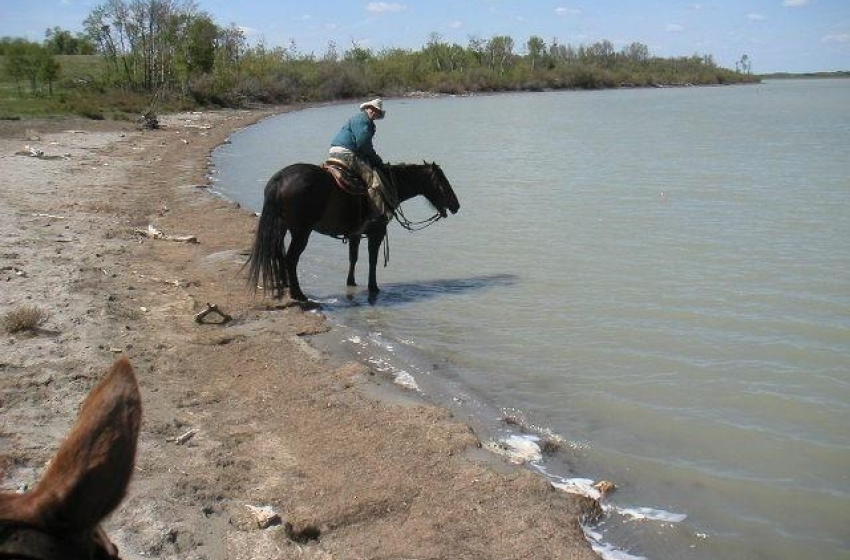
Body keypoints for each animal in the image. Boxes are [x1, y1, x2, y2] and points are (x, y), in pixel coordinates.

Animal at [245, 161, 458, 302]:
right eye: (443, 182)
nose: (456, 206)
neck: (387, 186)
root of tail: (280, 179)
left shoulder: (355, 234)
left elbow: (353, 258)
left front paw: (352, 283)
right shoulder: (376, 233)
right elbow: (372, 260)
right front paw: (373, 288)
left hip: (282, 228)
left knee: (277, 254)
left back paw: (284, 285)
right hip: (301, 232)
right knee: (290, 258)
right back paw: (298, 294)